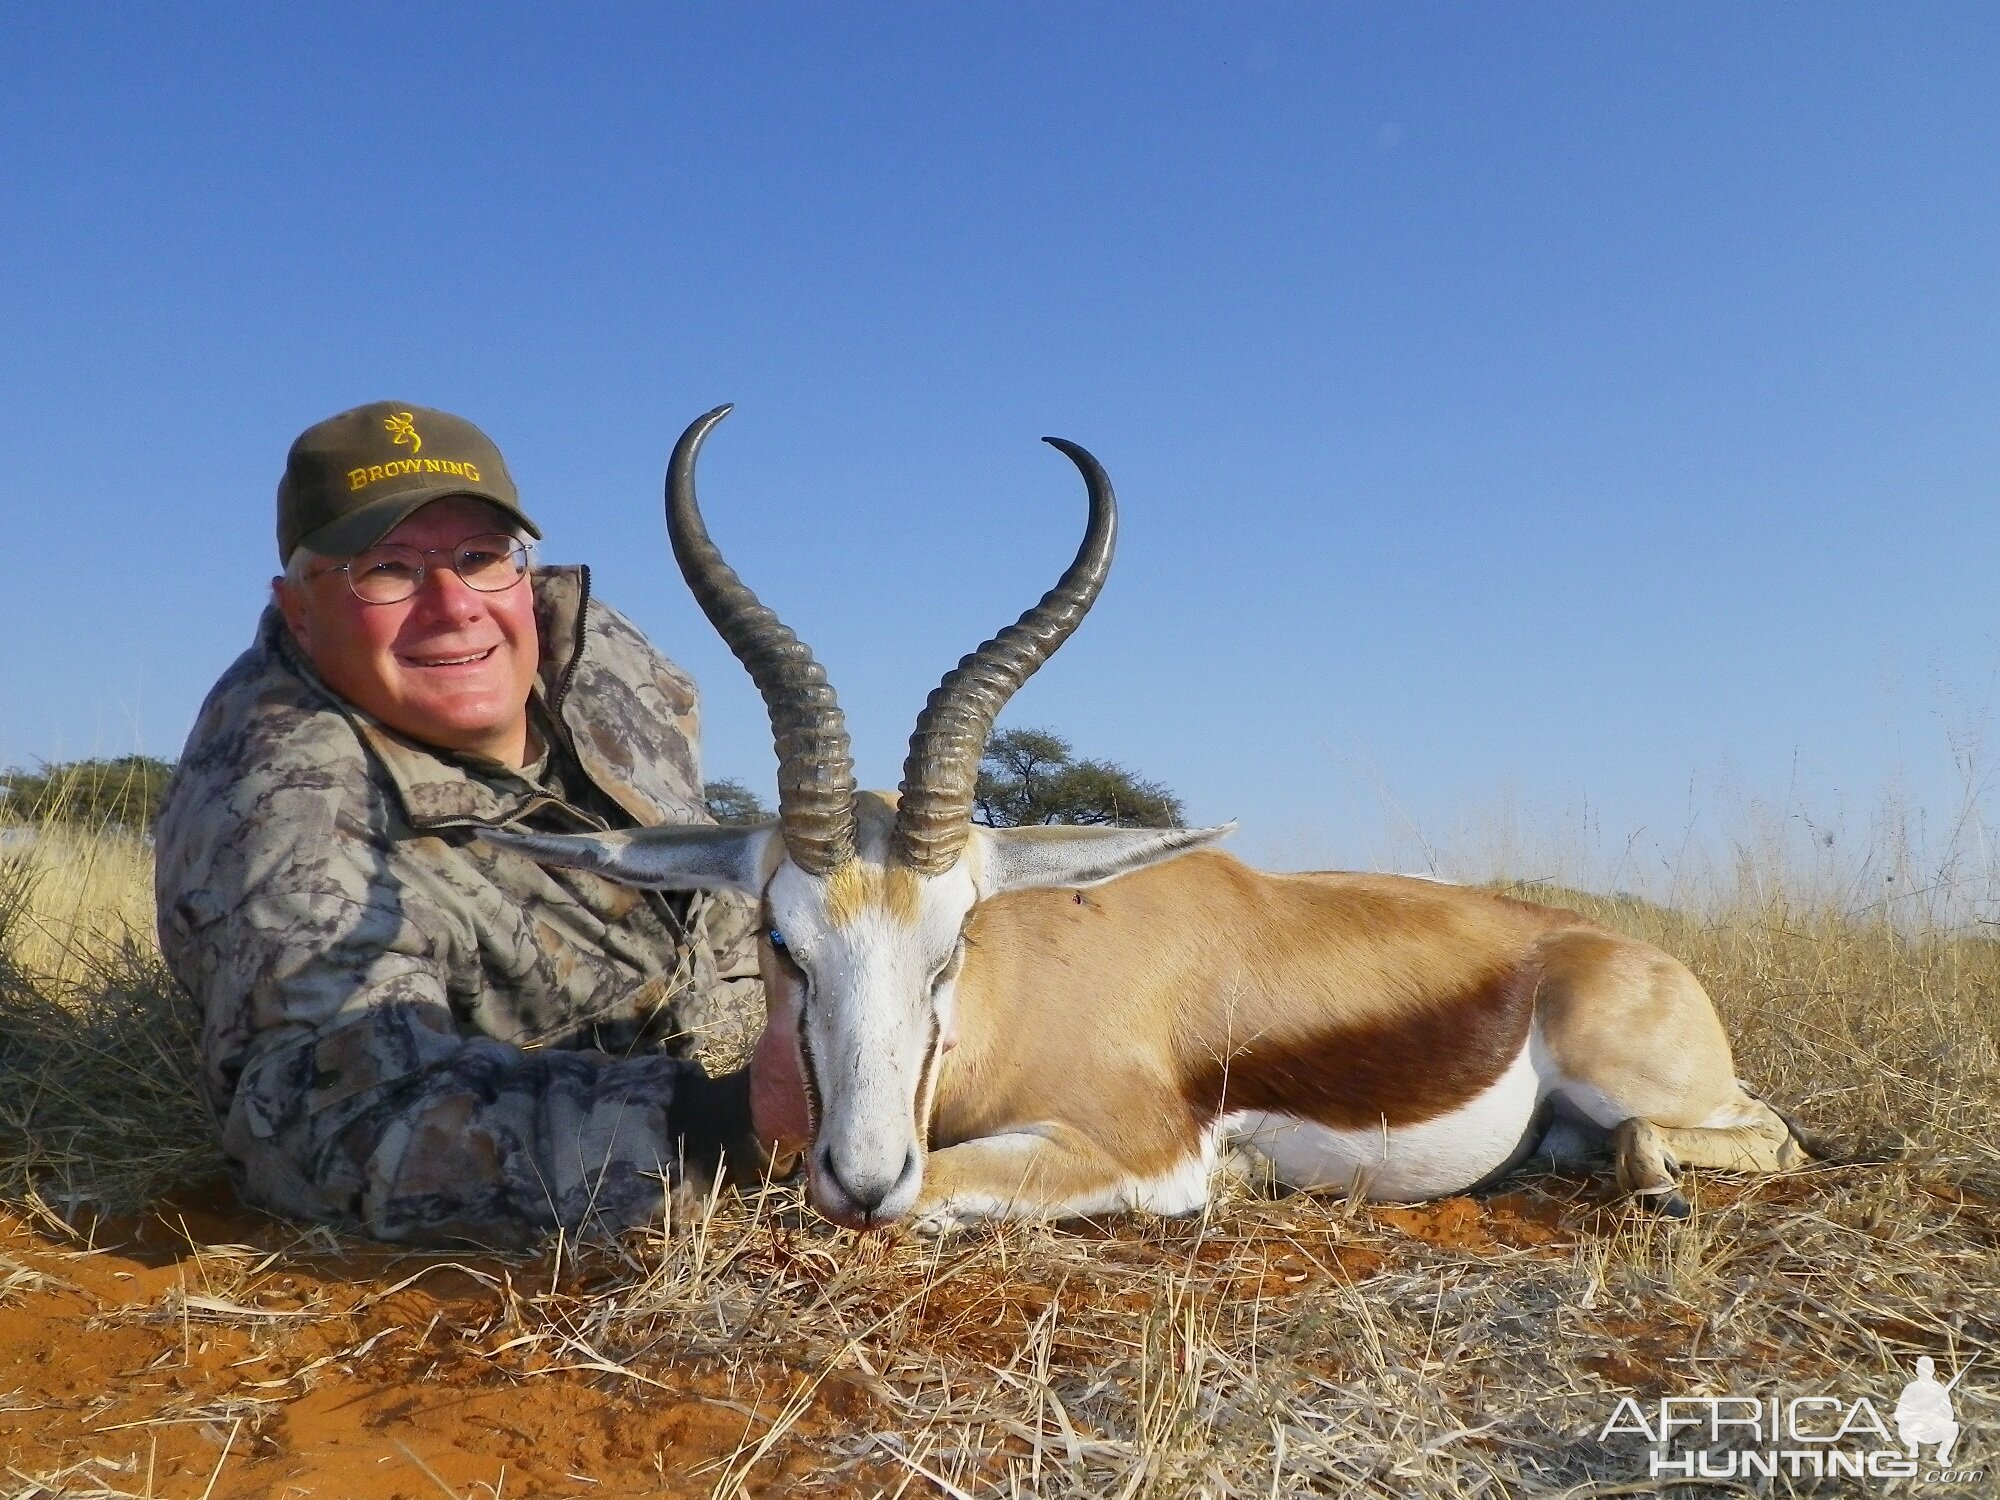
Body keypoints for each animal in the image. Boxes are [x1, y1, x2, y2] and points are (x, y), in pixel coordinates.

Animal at [484, 408, 1816, 1232]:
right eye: (780, 941)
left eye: (956, 940)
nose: (858, 1179)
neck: (1017, 997)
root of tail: (1611, 950)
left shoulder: (1135, 1154)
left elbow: (949, 1185)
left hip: (1647, 1082)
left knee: (1765, 1137)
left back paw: (1656, 1189)